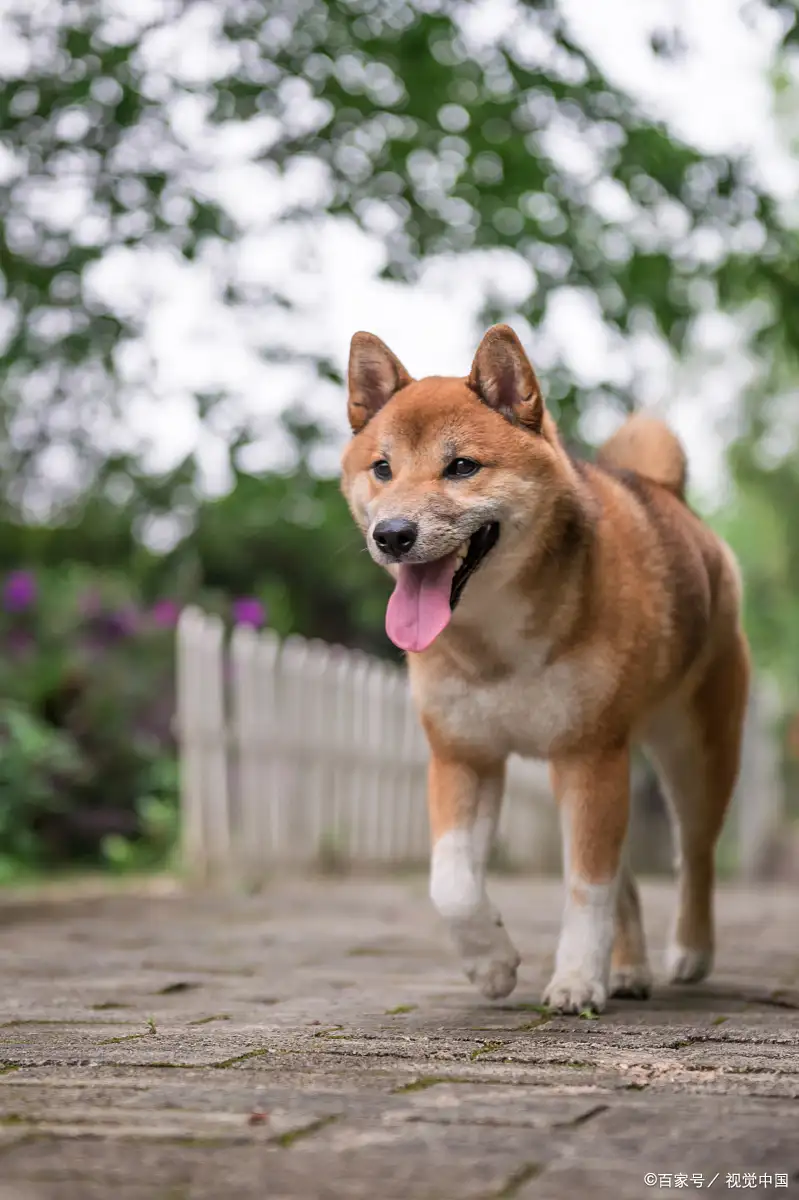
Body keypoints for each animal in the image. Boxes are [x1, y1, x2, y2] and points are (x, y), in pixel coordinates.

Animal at [338, 326, 748, 1012]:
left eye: (461, 466)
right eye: (383, 468)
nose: (393, 534)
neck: (496, 643)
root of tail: (667, 493)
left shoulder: (588, 754)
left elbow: (588, 887)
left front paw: (578, 978)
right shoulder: (464, 755)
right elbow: (452, 885)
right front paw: (491, 964)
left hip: (691, 751)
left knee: (695, 855)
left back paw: (690, 953)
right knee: (629, 875)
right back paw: (629, 970)